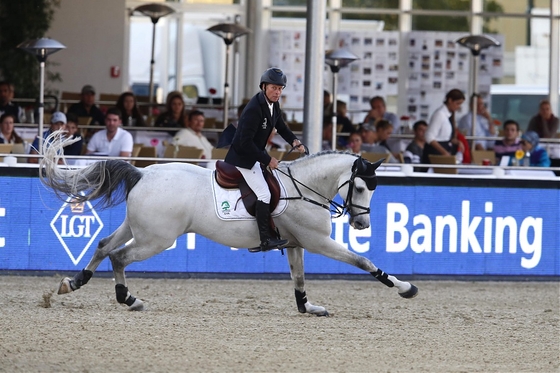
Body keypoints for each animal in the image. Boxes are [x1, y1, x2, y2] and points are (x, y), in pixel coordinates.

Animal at [40, 132, 416, 316]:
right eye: (362, 187)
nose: (362, 224)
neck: (304, 187)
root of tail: (144, 172)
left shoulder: (295, 244)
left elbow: (298, 278)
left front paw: (307, 307)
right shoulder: (317, 241)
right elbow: (363, 261)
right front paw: (404, 287)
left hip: (137, 228)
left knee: (104, 245)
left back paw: (73, 283)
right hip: (156, 239)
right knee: (119, 257)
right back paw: (128, 299)